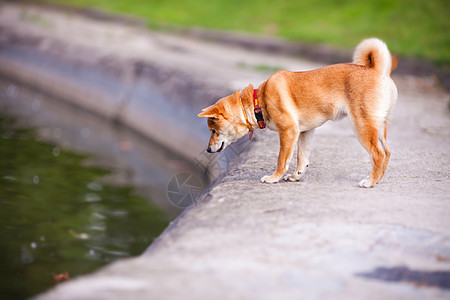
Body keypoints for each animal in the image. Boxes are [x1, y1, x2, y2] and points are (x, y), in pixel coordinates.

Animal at [197, 37, 398, 188]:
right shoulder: (305, 132)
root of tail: (377, 70)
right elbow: (302, 158)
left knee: (378, 154)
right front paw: (296, 176)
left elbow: (281, 159)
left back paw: (370, 181)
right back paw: (378, 179)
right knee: (387, 152)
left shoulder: (288, 132)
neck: (259, 101)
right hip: (379, 127)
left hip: (362, 126)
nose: (207, 149)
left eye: (213, 131)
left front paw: (274, 177)